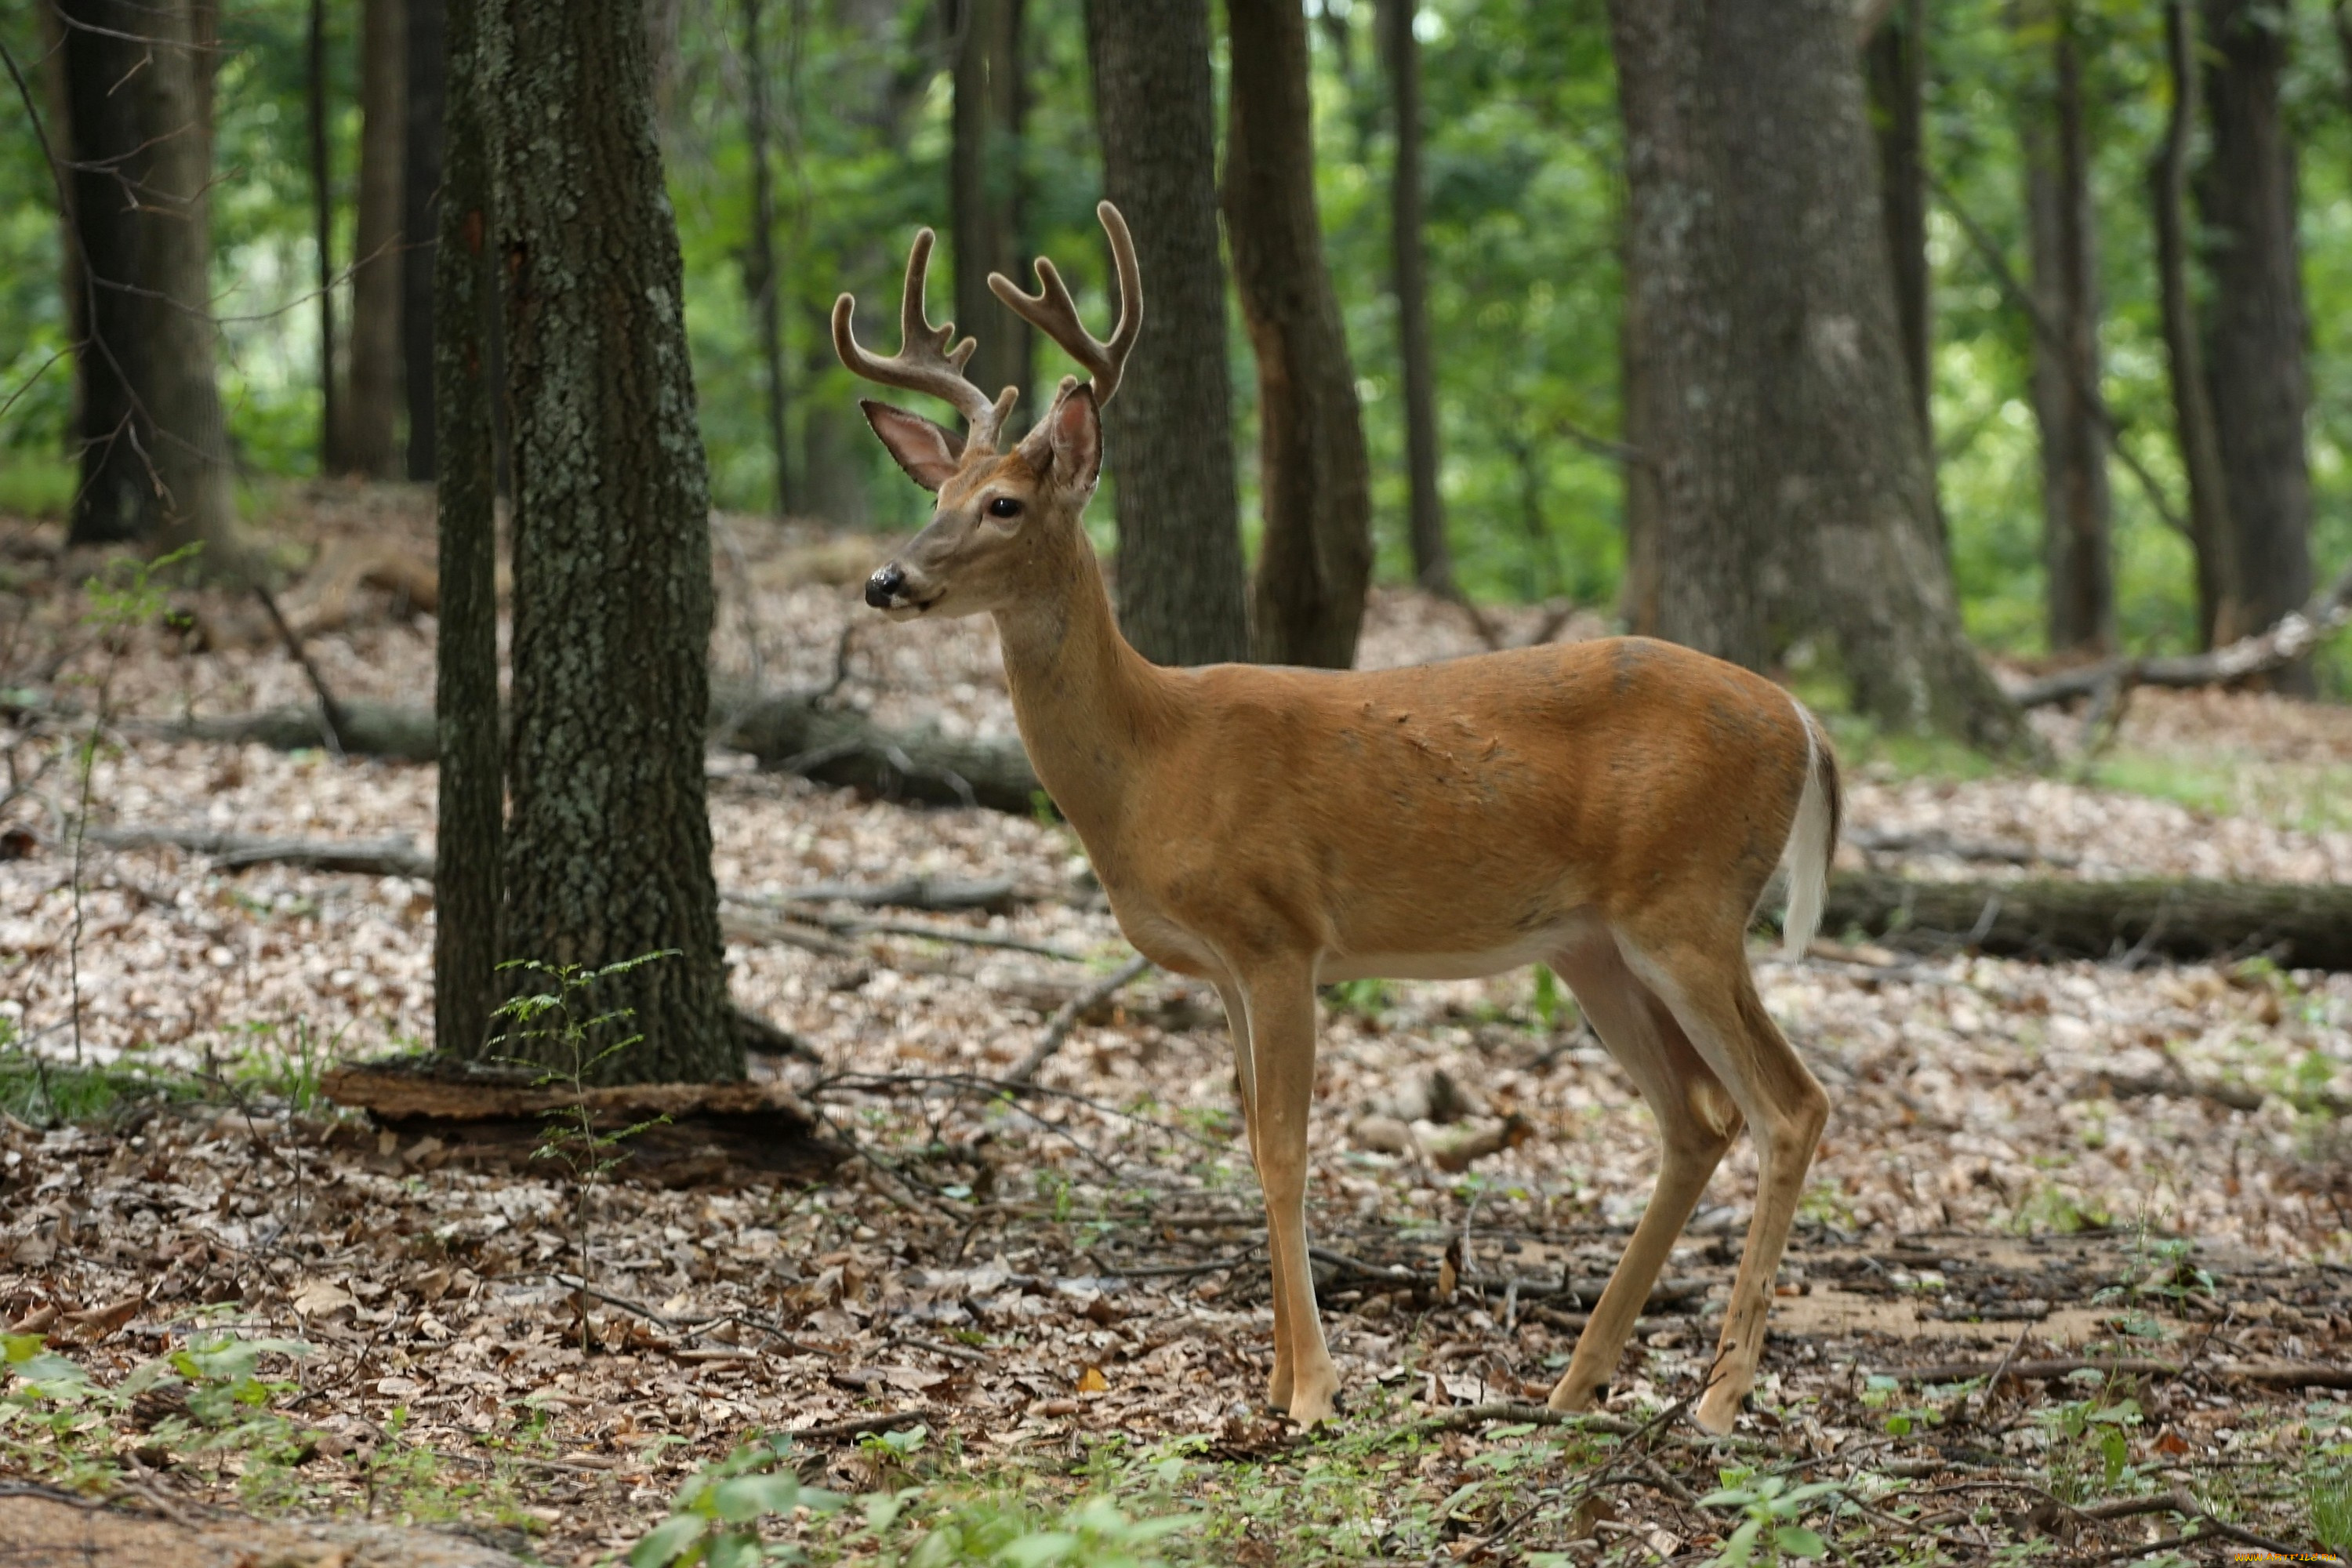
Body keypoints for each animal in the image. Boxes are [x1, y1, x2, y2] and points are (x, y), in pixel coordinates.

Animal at [837, 199, 1844, 1439]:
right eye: (932, 496)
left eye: (1004, 503)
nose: (886, 580)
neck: (1154, 759)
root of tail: (1803, 720)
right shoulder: (1223, 963)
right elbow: (1247, 1139)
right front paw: (1273, 1380)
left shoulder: (1281, 934)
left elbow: (1284, 1150)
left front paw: (1315, 1389)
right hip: (1595, 943)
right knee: (1699, 1117)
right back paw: (1575, 1385)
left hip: (1689, 904)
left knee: (1790, 1104)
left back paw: (1717, 1397)